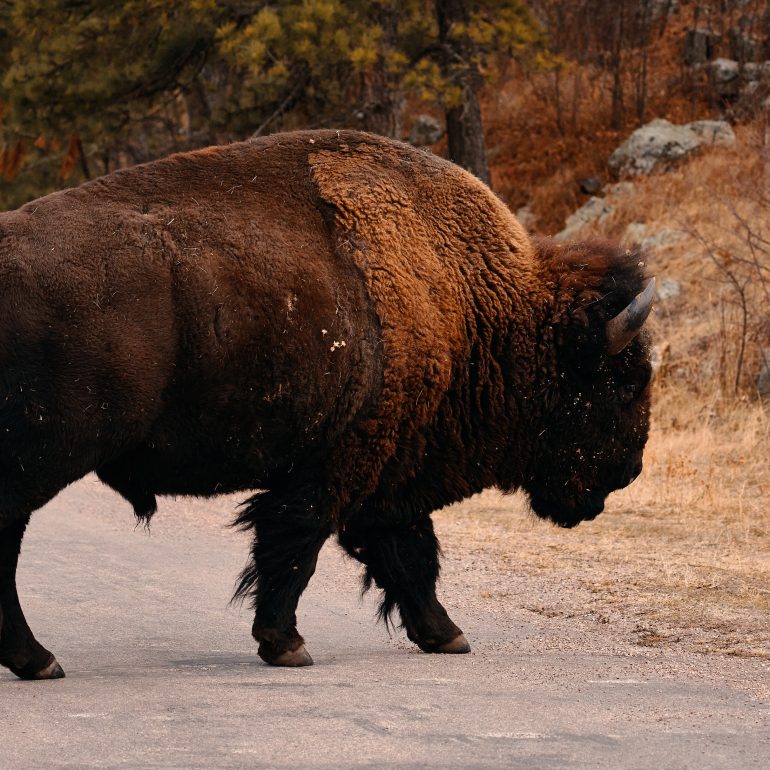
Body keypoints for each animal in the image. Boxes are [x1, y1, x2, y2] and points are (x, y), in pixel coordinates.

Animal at [0, 130, 653, 679]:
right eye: (623, 382)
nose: (629, 472)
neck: (484, 309)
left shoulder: (387, 474)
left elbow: (408, 555)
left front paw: (445, 635)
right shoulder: (337, 465)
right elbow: (298, 549)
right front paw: (287, 645)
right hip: (44, 457)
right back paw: (39, 660)